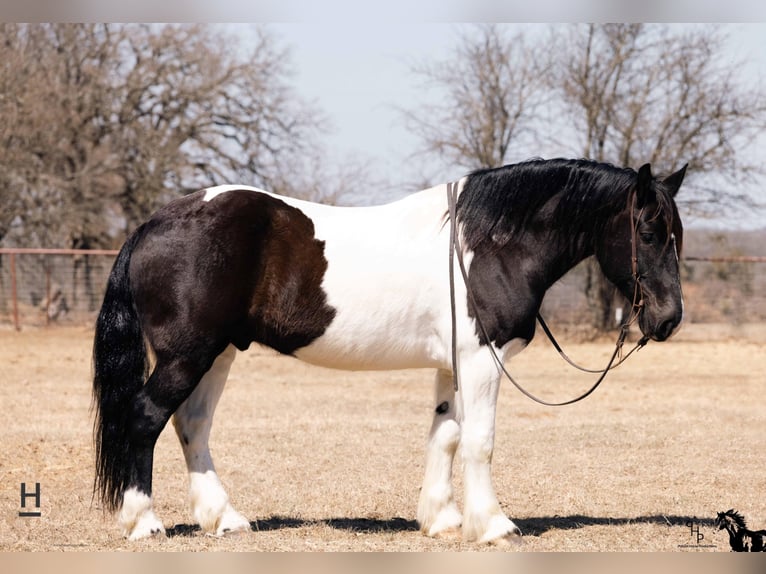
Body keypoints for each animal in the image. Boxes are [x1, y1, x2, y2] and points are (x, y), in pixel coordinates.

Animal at [91, 160, 688, 548]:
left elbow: (446, 436)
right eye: (648, 231)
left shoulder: (452, 364)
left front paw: (443, 521)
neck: (487, 245)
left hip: (217, 354)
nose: (667, 319)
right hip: (187, 355)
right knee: (145, 417)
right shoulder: (481, 360)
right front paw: (494, 526)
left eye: (676, 232)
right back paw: (143, 523)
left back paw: (223, 519)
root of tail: (155, 223)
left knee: (191, 424)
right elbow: (480, 441)